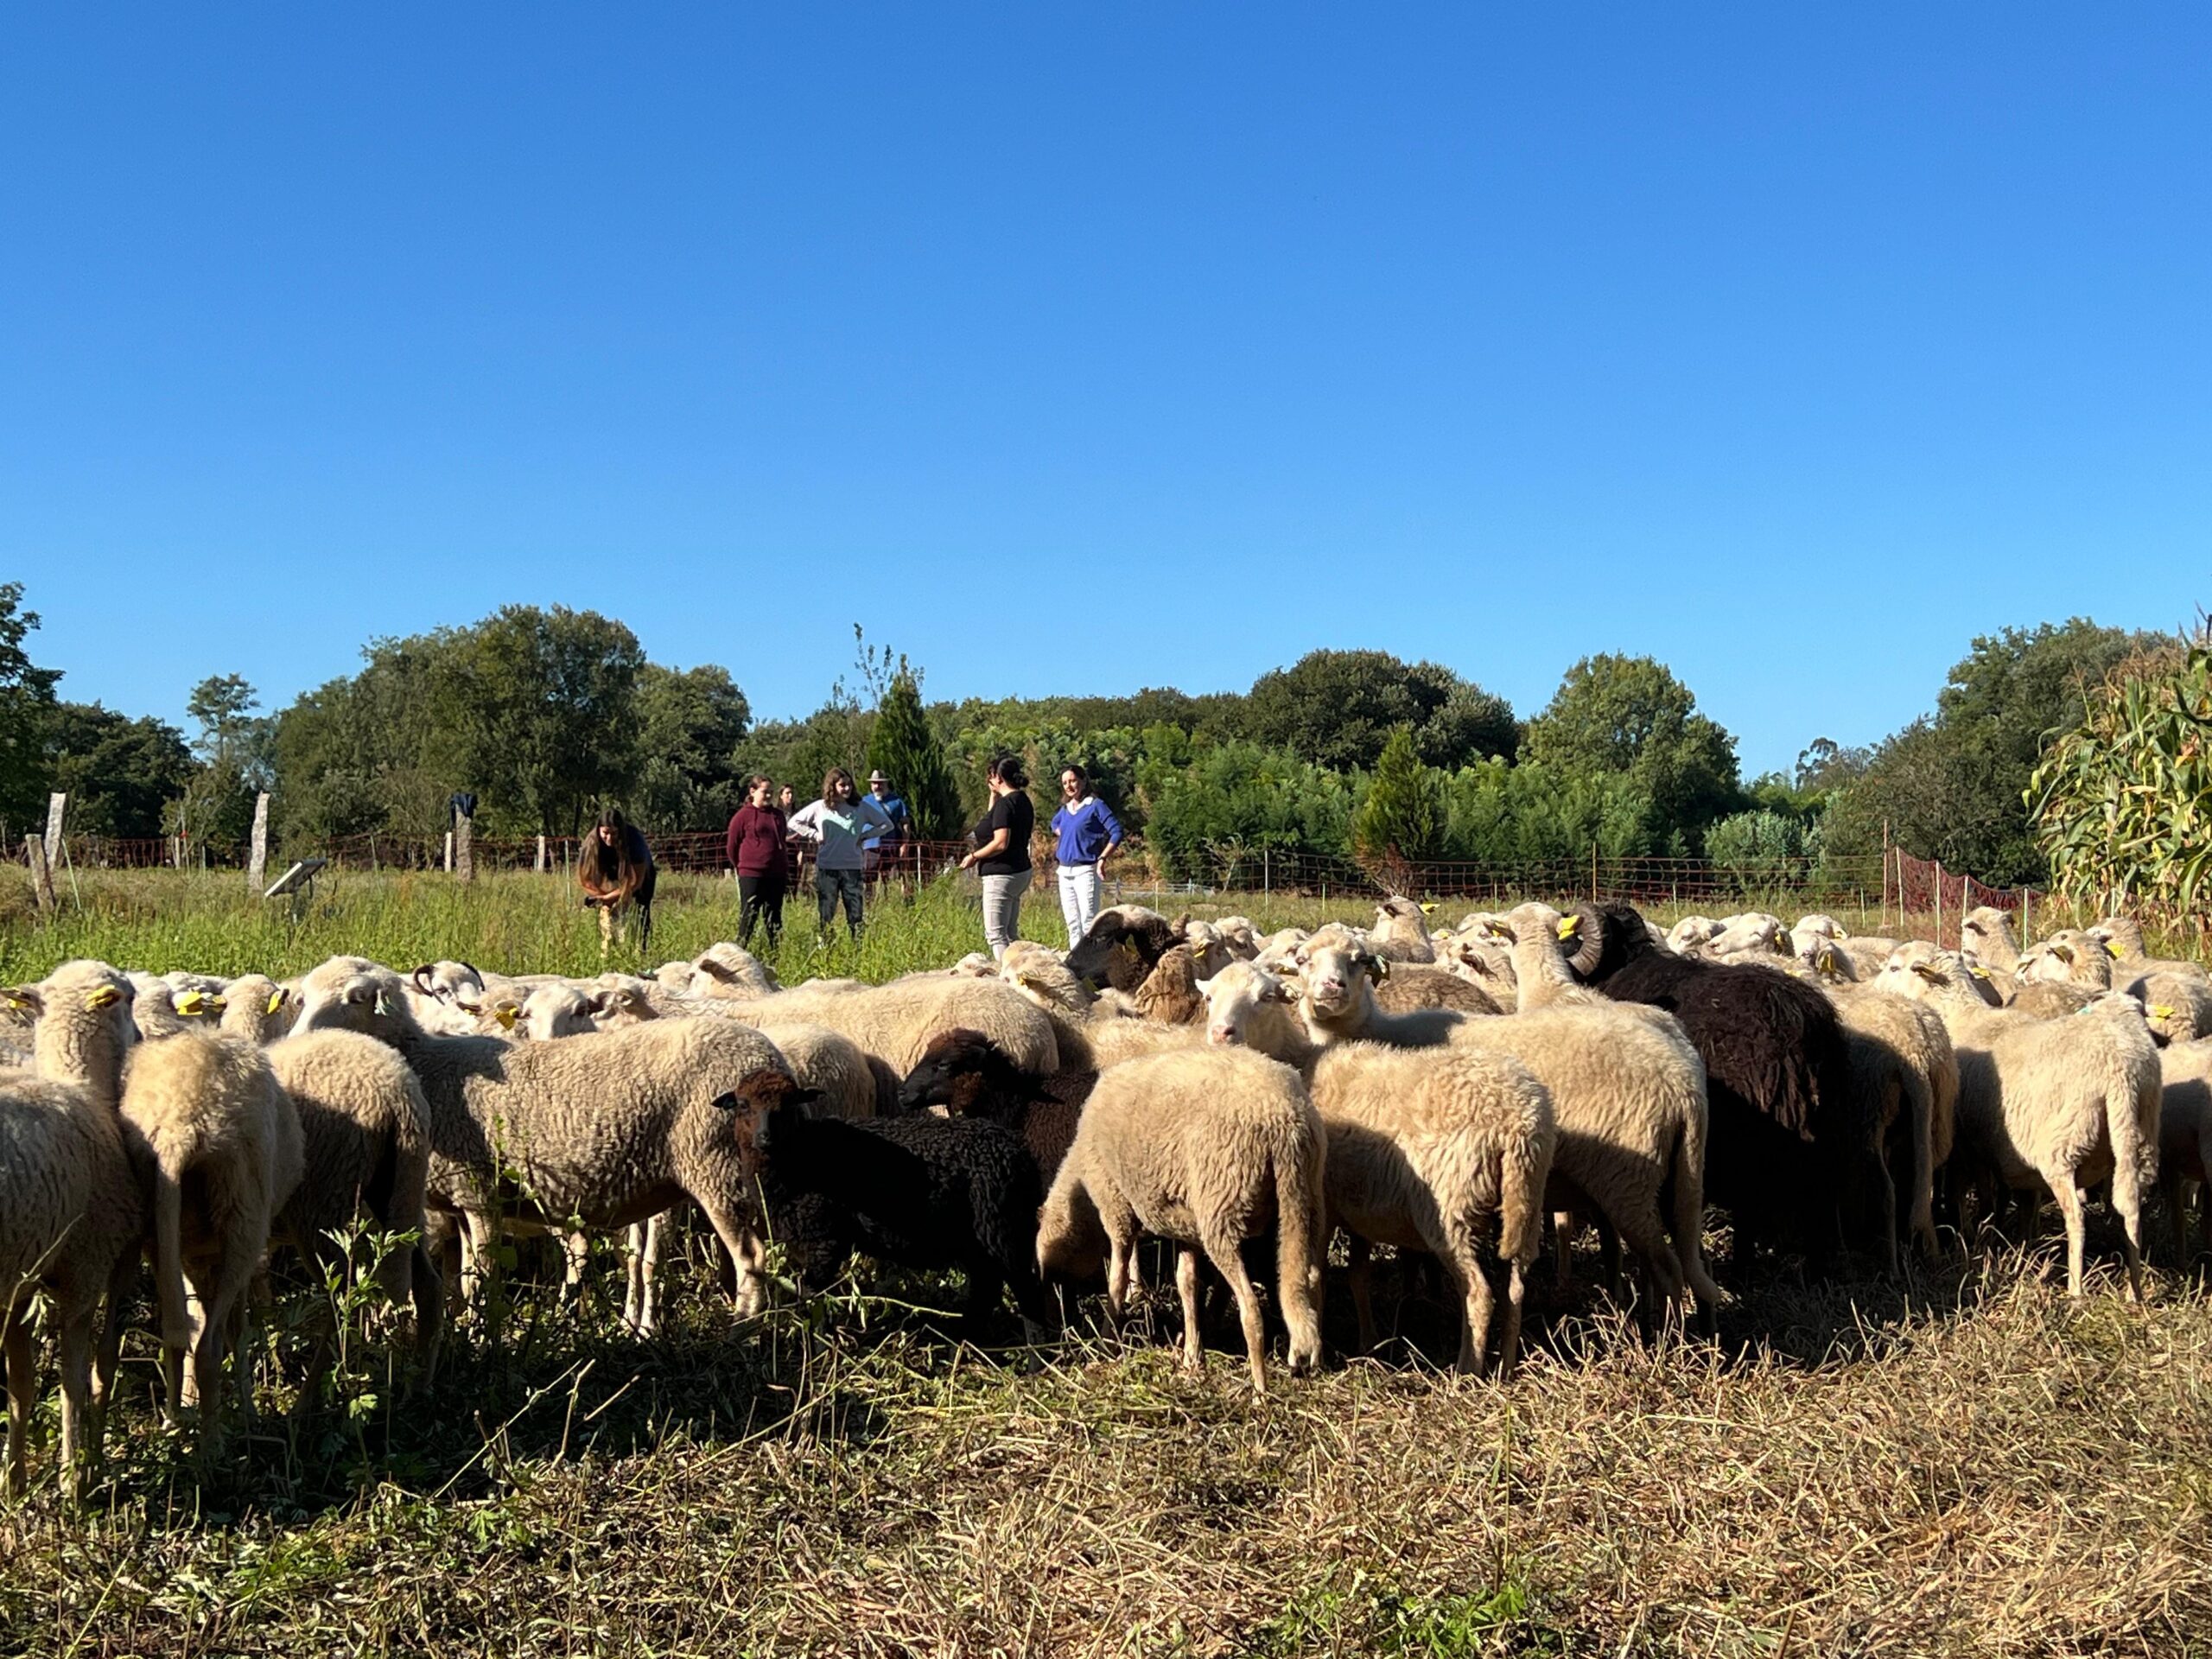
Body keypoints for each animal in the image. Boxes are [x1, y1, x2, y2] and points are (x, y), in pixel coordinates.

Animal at [747, 1079, 1057, 1336]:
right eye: (743, 1104)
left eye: (787, 1105)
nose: (764, 1137)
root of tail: (1020, 1152)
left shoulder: (823, 1239)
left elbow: (814, 1296)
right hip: (981, 1241)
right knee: (986, 1287)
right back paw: (964, 1341)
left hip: (1003, 1230)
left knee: (1026, 1293)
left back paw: (1035, 1357)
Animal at [1039, 1052, 1327, 1389]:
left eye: (1050, 1271)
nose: (1053, 1324)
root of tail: (1284, 1120)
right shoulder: (1186, 1228)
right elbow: (1186, 1284)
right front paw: (1192, 1356)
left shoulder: (1116, 1205)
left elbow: (1117, 1280)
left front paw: (1108, 1342)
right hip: (1306, 1202)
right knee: (1312, 1281)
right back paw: (1315, 1362)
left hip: (1221, 1207)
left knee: (1251, 1307)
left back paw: (1260, 1388)